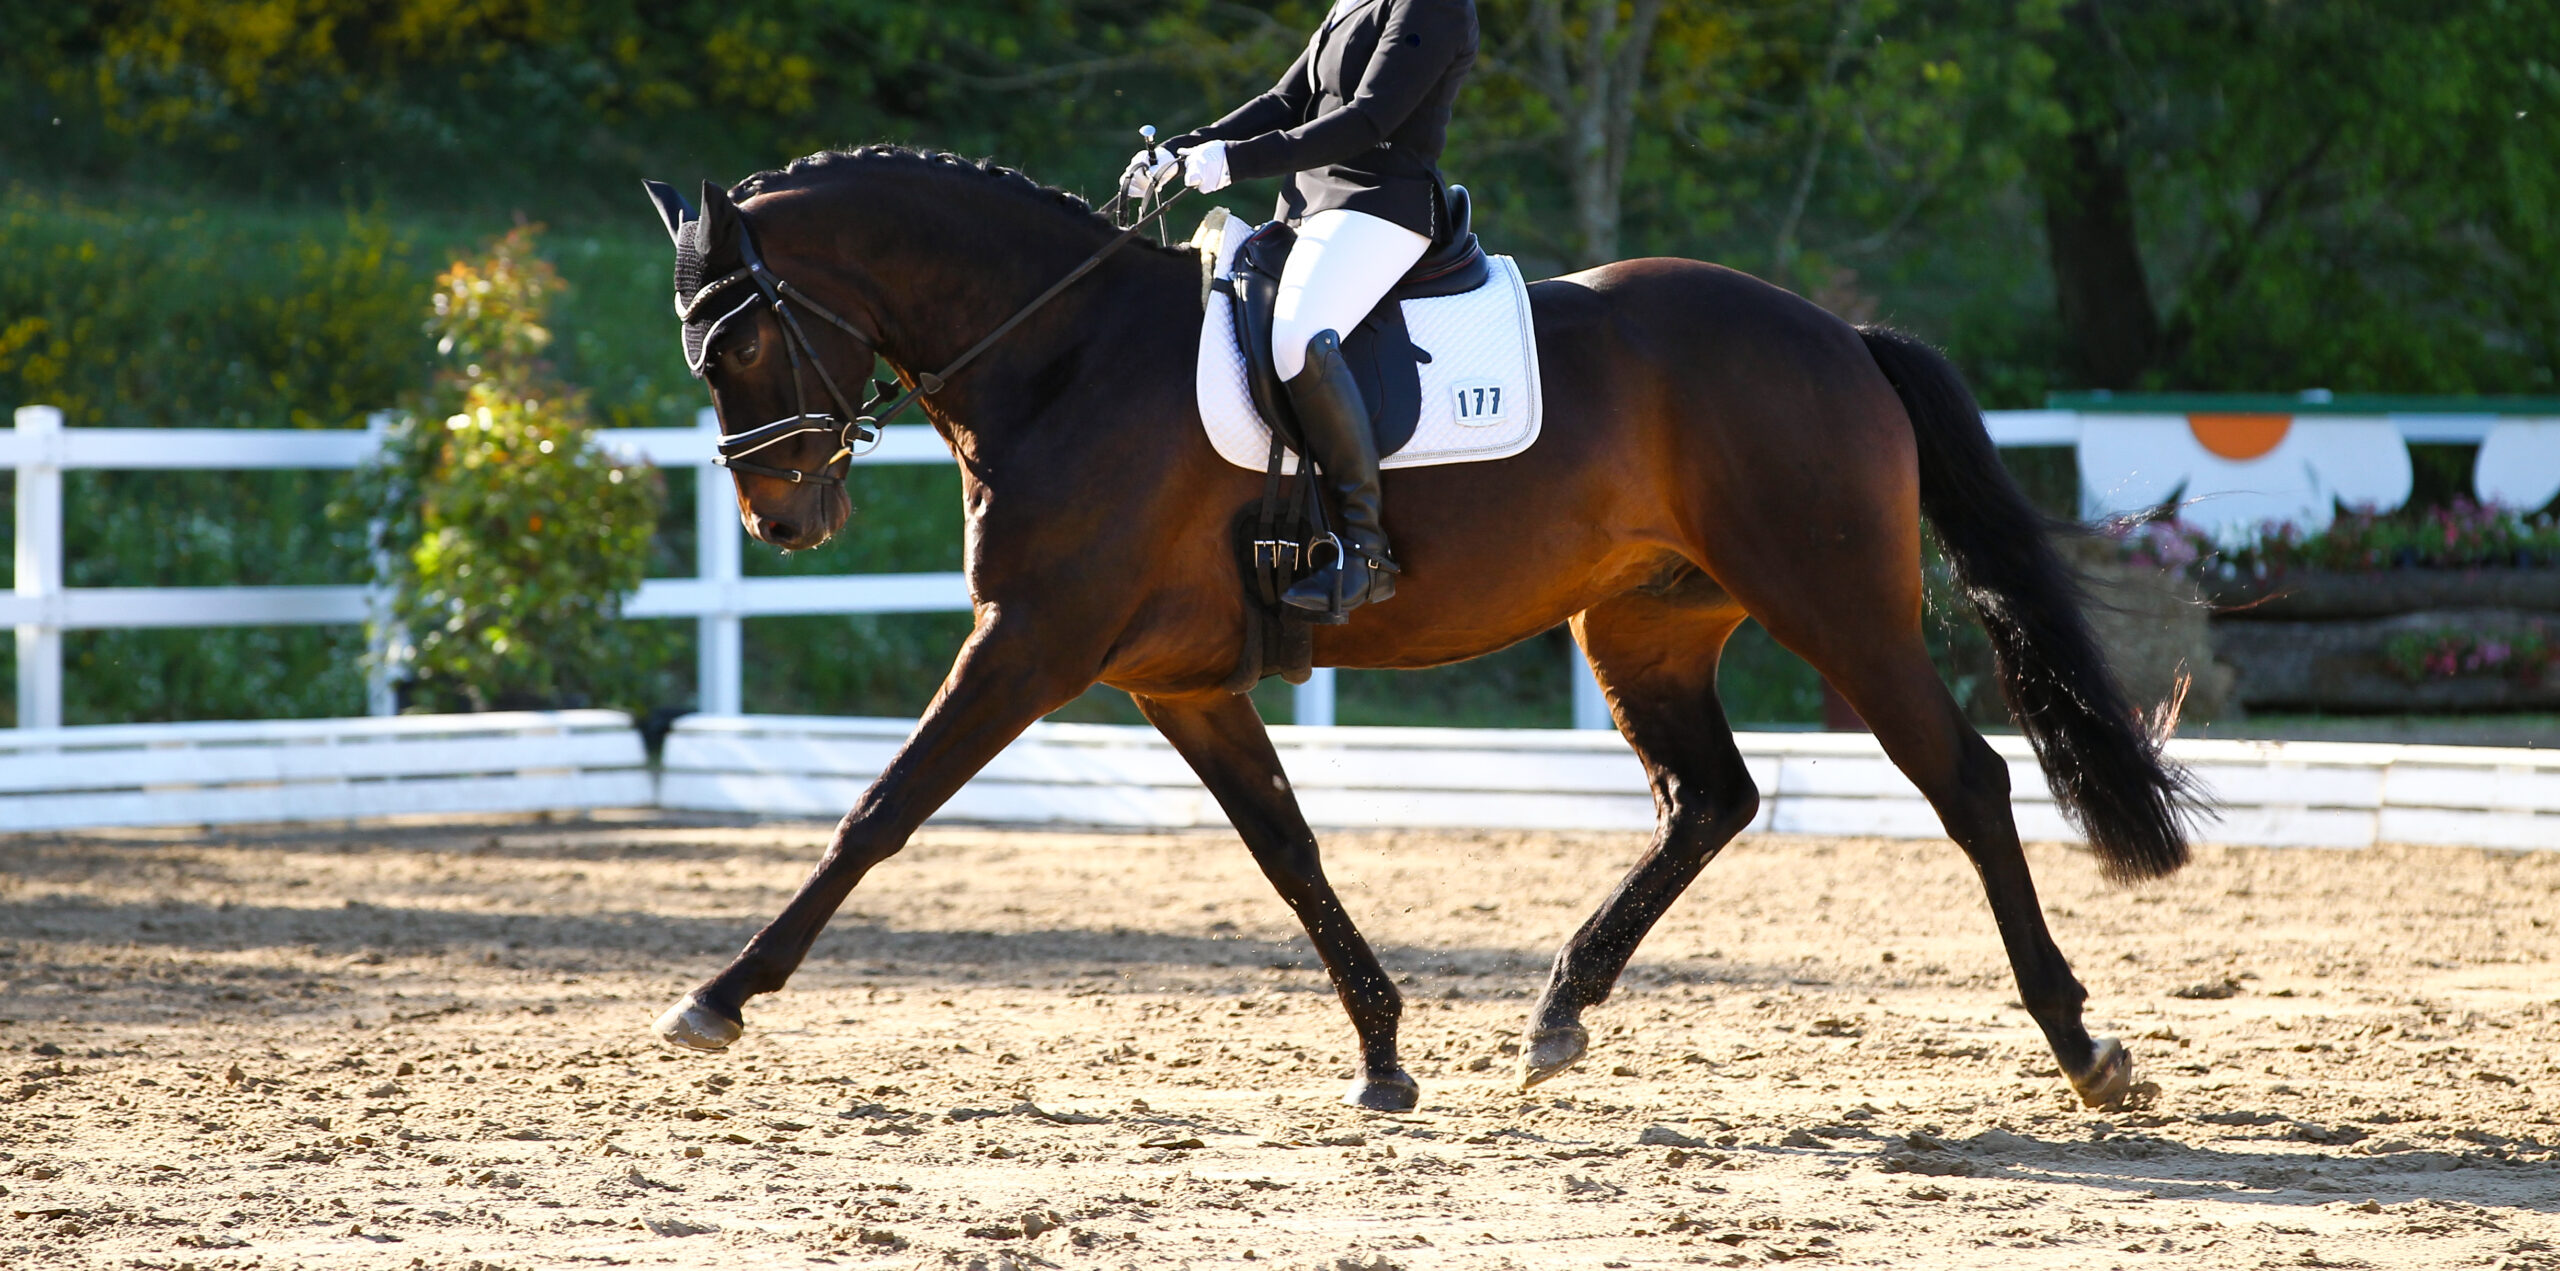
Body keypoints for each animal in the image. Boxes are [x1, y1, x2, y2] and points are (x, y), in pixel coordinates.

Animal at [645, 144, 2201, 1107]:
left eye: (739, 337)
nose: (784, 521)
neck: (1063, 352)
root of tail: (1838, 335)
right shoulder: (1175, 681)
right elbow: (1287, 850)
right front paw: (1385, 1051)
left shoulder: (1031, 640)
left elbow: (879, 810)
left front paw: (718, 994)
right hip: (1641, 626)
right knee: (1710, 796)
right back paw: (1559, 1011)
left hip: (1835, 604)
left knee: (1967, 781)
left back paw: (2083, 1042)